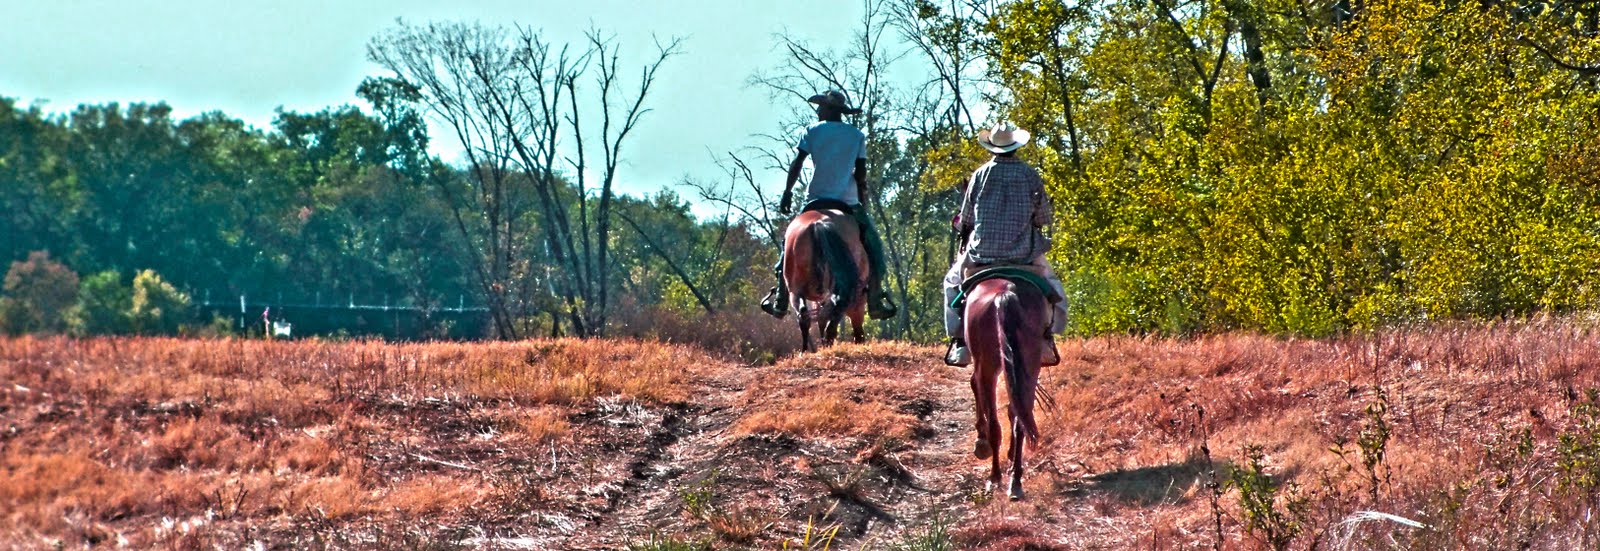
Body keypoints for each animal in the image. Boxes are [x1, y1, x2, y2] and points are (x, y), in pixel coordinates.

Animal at [960, 277, 1049, 496]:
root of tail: (1004, 294)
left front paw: (981, 442)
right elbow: (1014, 411)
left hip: (988, 367)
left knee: (995, 425)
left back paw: (995, 476)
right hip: (1029, 365)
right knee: (1021, 421)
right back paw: (1015, 481)